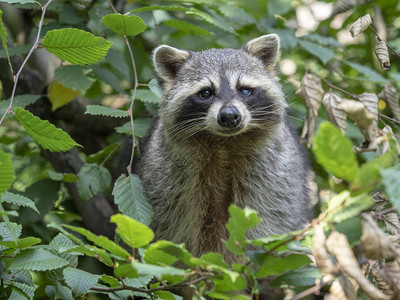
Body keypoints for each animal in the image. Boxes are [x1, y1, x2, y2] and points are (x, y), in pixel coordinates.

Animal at [138, 34, 312, 260]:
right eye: (206, 93)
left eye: (244, 90)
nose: (229, 116)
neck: (225, 143)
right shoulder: (168, 178)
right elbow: (171, 229)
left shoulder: (274, 173)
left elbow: (268, 220)